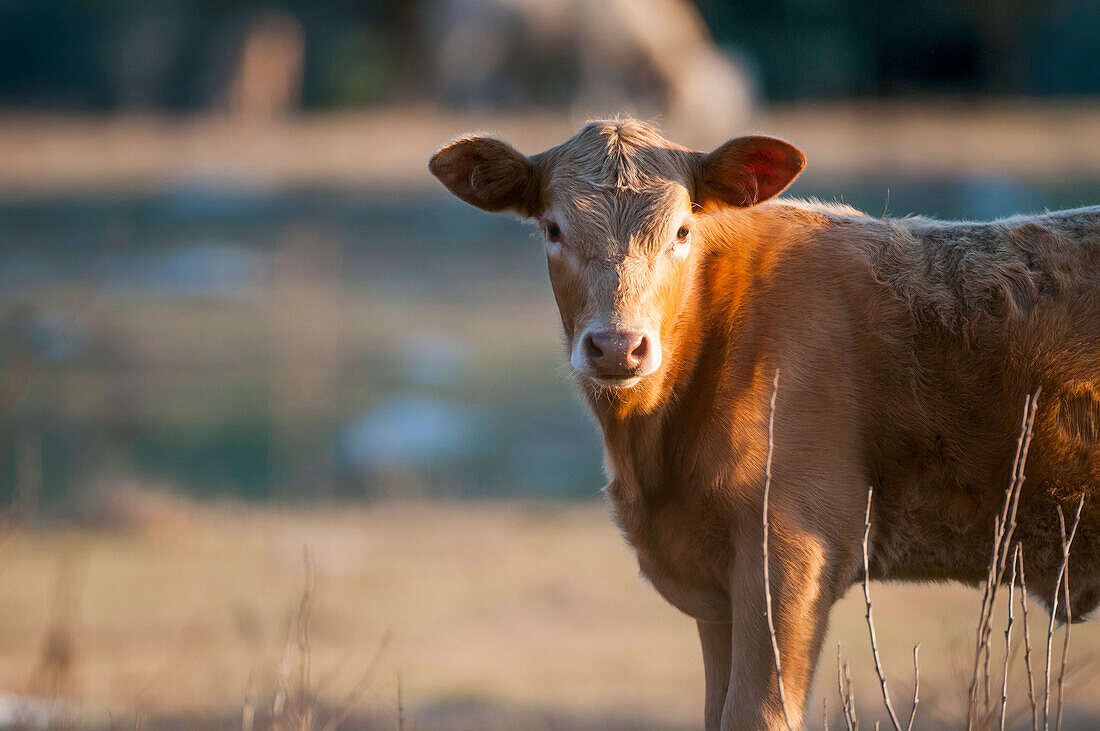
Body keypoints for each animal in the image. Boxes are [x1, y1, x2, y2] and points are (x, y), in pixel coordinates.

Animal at [426, 120, 1100, 729]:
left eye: (682, 230)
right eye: (553, 228)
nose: (618, 347)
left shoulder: (792, 549)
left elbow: (759, 714)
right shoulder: (718, 589)